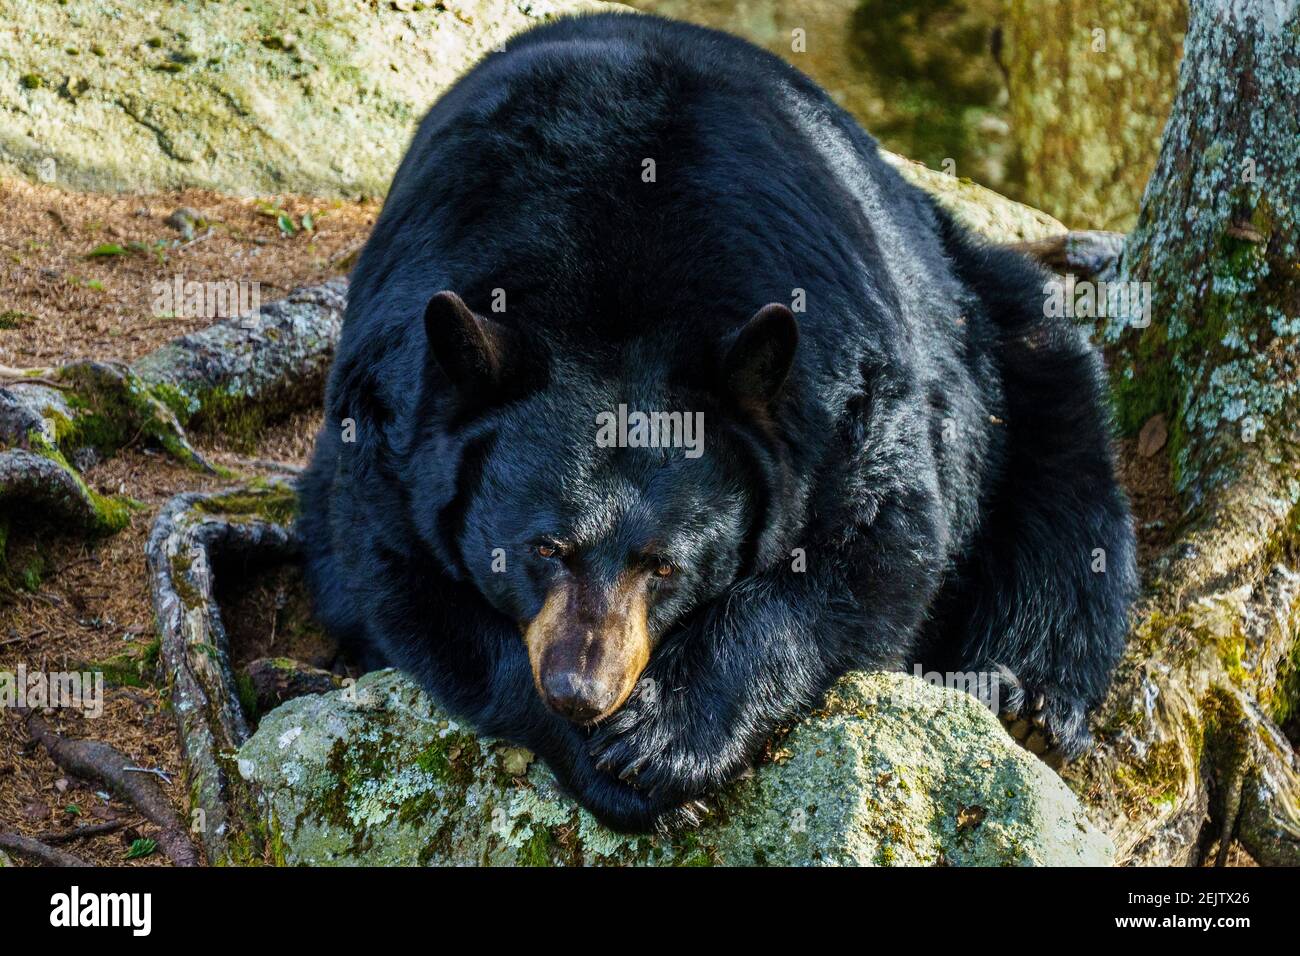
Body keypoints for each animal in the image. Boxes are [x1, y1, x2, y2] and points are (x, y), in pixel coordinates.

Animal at [297, 11, 1138, 832]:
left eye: (663, 565)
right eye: (543, 549)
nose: (581, 688)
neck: (611, 302)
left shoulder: (841, 383)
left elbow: (876, 543)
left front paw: (668, 737)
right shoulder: (389, 428)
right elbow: (403, 589)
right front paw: (610, 764)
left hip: (985, 324)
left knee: (1062, 450)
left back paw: (1029, 694)